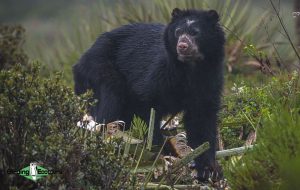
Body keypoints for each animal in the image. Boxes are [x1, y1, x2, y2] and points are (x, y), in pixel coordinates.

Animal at [73, 8, 225, 180]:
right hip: (99, 70)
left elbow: (202, 121)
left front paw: (208, 169)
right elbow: (144, 107)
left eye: (195, 33)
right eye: (178, 32)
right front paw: (163, 152)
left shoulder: (209, 82)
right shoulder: (158, 75)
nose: (182, 46)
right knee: (109, 102)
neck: (190, 69)